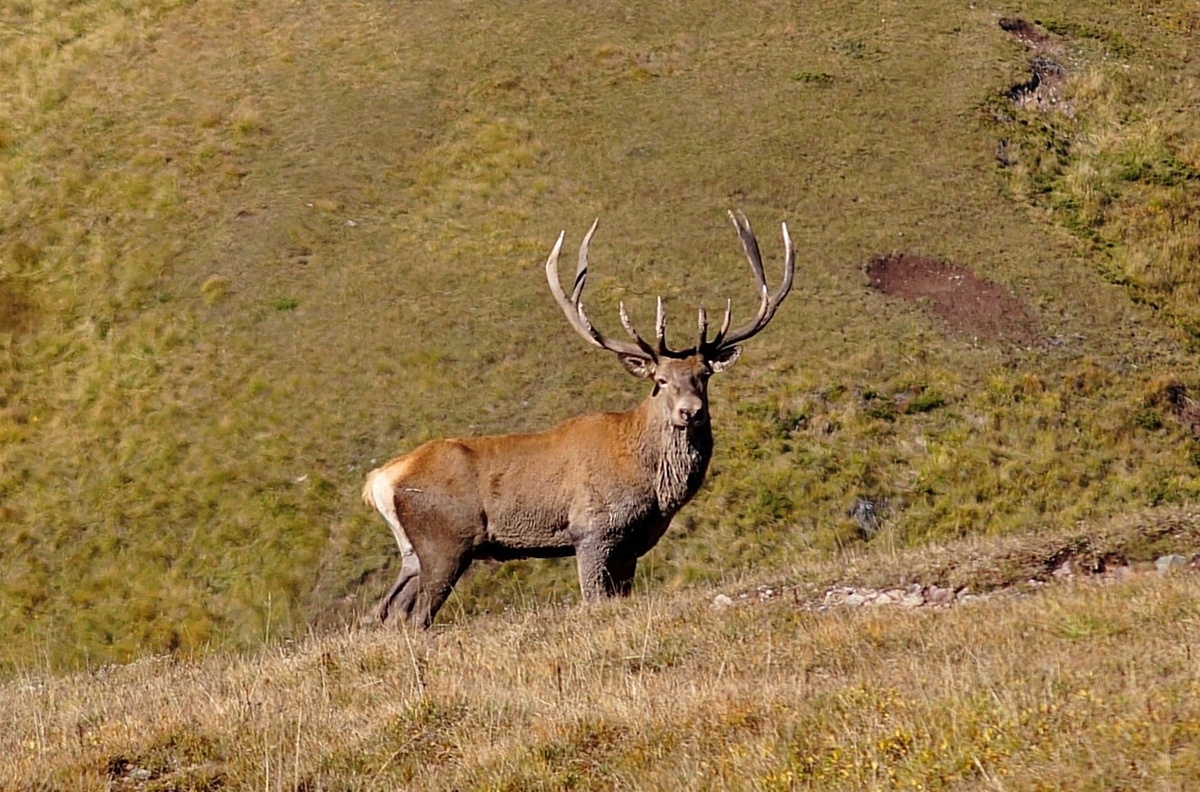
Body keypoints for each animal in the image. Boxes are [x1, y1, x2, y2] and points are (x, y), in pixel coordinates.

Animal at [364, 212, 796, 628]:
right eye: (660, 380)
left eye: (703, 374)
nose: (690, 411)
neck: (653, 486)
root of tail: (381, 480)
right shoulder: (592, 532)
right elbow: (593, 599)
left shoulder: (629, 548)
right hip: (445, 542)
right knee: (417, 615)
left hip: (412, 552)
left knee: (388, 611)